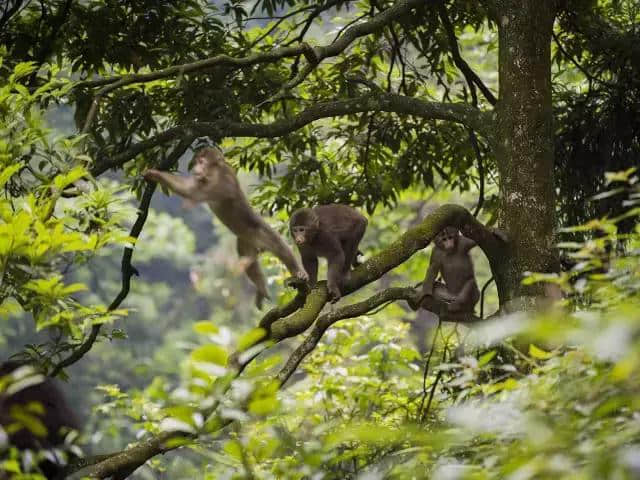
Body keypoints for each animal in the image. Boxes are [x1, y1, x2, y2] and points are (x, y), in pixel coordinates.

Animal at [144, 146, 308, 310]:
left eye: (201, 162)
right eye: (196, 162)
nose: (196, 168)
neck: (215, 171)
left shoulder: (222, 182)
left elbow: (194, 193)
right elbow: (191, 188)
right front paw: (153, 173)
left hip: (264, 232)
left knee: (282, 249)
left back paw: (299, 272)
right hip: (246, 241)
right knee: (249, 262)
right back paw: (261, 289)